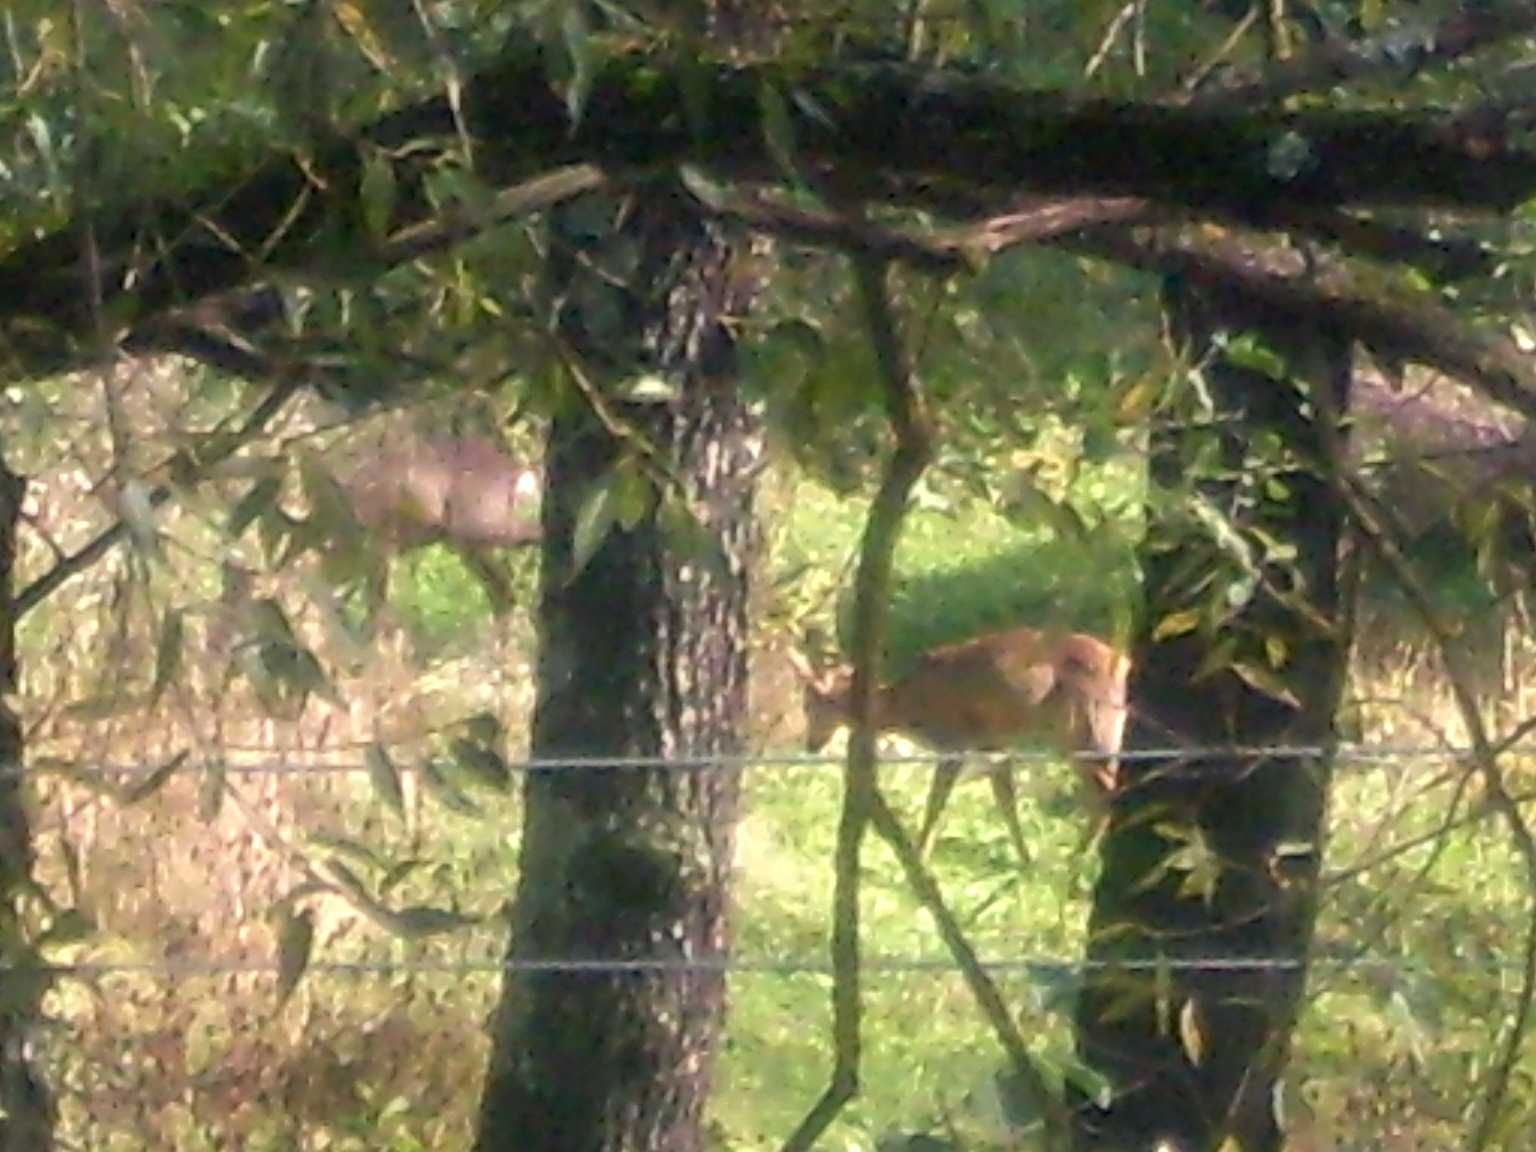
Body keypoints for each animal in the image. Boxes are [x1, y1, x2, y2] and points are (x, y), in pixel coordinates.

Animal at [792, 632, 1130, 866]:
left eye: (812, 705)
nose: (810, 745)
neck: (910, 705)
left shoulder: (954, 743)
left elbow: (936, 804)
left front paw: (919, 856)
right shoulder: (996, 745)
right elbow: (1006, 802)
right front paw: (1026, 860)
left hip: (1083, 729)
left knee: (1105, 792)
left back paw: (1077, 861)